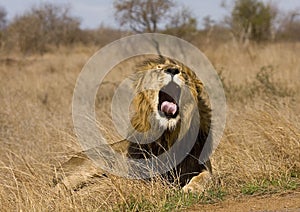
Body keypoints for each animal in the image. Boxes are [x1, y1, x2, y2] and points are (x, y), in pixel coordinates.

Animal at [54, 55, 213, 193]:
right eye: (158, 68)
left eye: (182, 72)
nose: (173, 70)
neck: (168, 134)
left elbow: (206, 177)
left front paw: (192, 188)